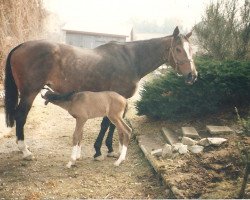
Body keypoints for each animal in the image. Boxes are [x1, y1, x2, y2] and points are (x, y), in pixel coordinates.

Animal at [3, 26, 197, 160]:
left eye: (191, 49)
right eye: (178, 49)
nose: (192, 75)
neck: (132, 59)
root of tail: (21, 46)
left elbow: (111, 125)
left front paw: (110, 150)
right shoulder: (114, 98)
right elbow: (107, 124)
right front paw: (100, 151)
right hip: (29, 93)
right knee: (21, 116)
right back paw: (25, 151)